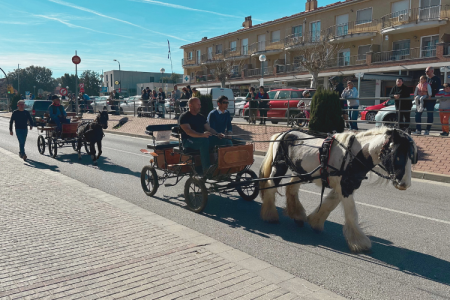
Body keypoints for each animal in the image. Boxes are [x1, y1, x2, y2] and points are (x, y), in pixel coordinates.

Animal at [260, 127, 418, 253]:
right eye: (398, 155)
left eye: (412, 157)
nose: (405, 184)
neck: (353, 156)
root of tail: (282, 134)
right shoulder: (345, 188)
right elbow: (352, 214)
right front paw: (359, 242)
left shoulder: (343, 187)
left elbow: (329, 204)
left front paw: (315, 222)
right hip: (279, 167)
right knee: (270, 187)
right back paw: (270, 215)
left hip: (301, 172)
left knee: (291, 189)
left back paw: (297, 215)